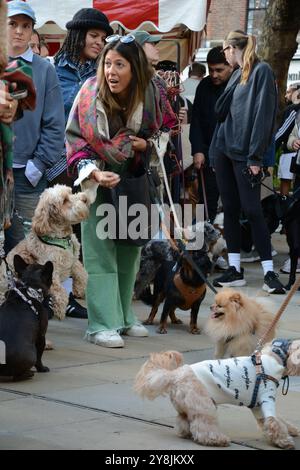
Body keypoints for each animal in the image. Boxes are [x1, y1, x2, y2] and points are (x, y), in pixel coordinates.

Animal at [7, 185, 90, 322]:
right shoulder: (53, 270)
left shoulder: (73, 260)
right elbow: (60, 291)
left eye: (70, 192)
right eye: (64, 200)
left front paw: (80, 289)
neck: (62, 238)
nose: (85, 198)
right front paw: (60, 308)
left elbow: (82, 274)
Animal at [135, 340, 300, 450]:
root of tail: (175, 375)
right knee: (203, 429)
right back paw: (217, 440)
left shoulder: (258, 406)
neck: (274, 358)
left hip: (187, 407)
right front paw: (285, 441)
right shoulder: (266, 399)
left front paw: (291, 430)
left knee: (184, 422)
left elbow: (276, 420)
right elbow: (274, 421)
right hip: (205, 407)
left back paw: (186, 433)